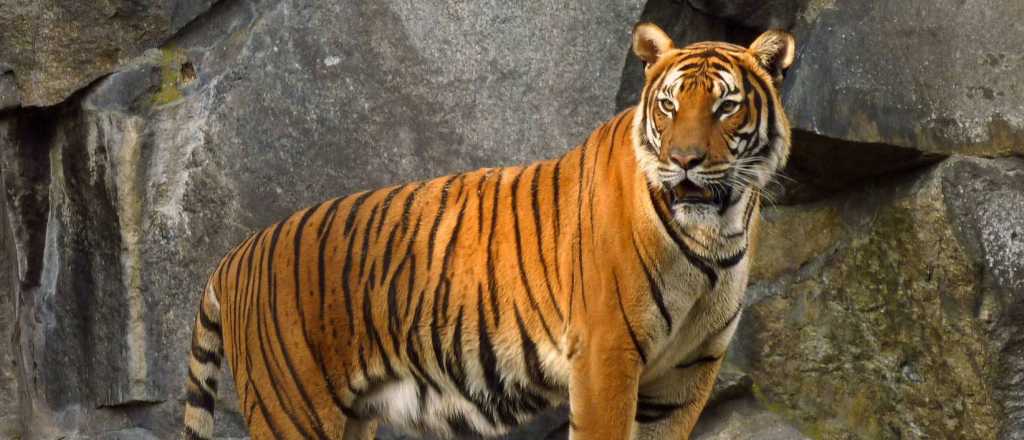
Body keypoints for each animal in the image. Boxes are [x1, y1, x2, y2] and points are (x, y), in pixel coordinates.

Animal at [181, 22, 795, 440]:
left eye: (725, 107)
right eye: (668, 106)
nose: (684, 162)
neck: (716, 234)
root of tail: (233, 256)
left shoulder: (687, 372)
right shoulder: (607, 355)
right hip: (294, 412)